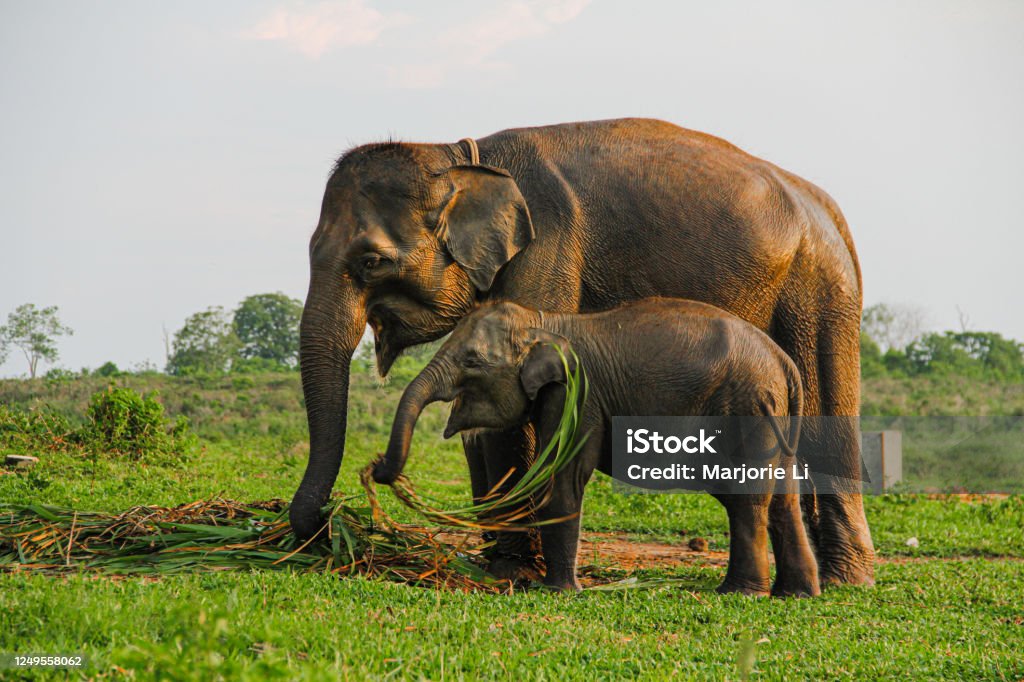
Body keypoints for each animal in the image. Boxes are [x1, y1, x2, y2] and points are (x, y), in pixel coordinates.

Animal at [371, 298, 821, 596]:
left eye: (472, 361)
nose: (376, 466)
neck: (542, 322)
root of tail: (785, 364)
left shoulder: (576, 395)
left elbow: (563, 479)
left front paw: (557, 591)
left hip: (746, 407)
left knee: (746, 499)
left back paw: (740, 593)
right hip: (773, 414)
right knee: (783, 499)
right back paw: (796, 594)